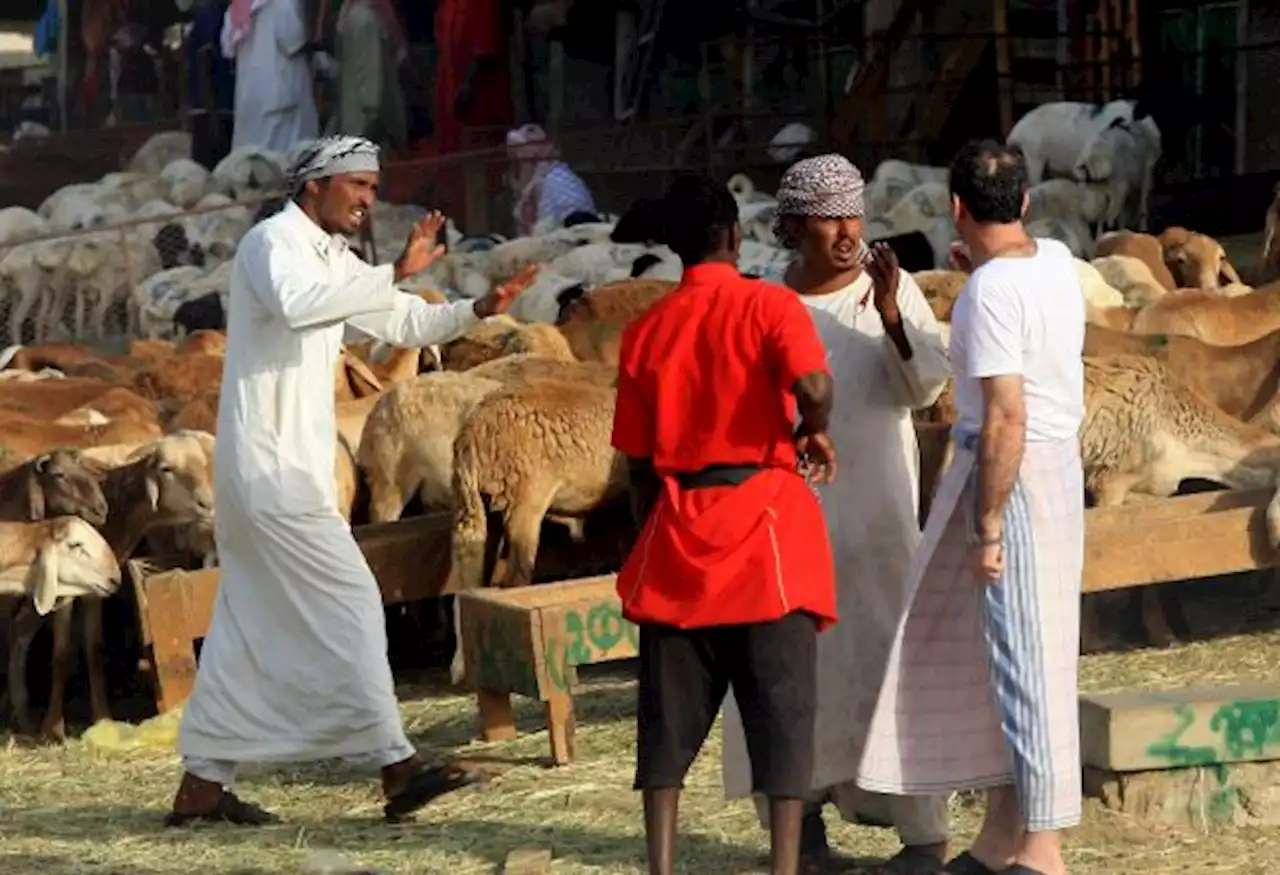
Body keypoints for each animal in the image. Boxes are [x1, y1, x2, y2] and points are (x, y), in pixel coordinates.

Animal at [450, 378, 629, 685]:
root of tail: (474, 434)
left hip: (479, 504)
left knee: (473, 574)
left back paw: (462, 665)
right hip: (524, 497)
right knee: (515, 577)